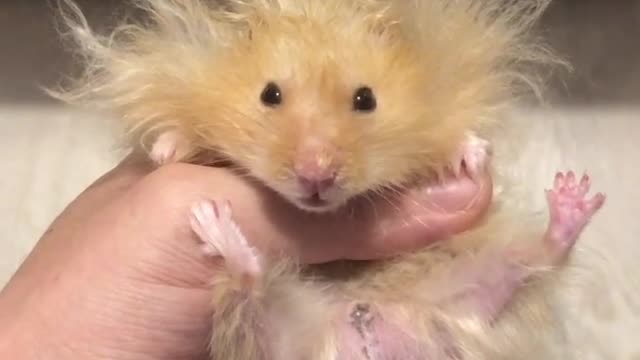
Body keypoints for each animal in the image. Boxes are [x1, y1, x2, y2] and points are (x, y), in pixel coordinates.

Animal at [50, 0, 604, 360]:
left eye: (366, 99)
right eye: (269, 94)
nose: (315, 176)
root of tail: (357, 327)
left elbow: (456, 136)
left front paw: (470, 159)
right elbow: (178, 133)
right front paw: (168, 151)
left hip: (472, 287)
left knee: (536, 259)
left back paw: (573, 197)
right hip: (260, 337)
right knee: (250, 290)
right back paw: (220, 231)